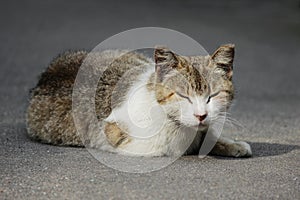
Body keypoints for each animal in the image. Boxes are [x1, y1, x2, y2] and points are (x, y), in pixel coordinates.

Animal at [25, 44, 252, 158]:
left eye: (212, 96)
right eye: (183, 96)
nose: (201, 115)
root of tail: (49, 72)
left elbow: (207, 136)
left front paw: (231, 144)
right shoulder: (119, 138)